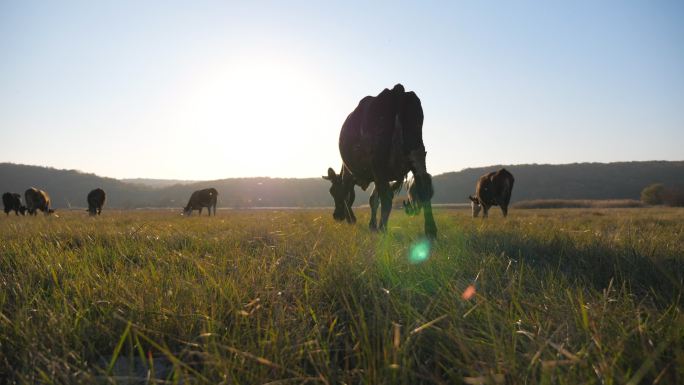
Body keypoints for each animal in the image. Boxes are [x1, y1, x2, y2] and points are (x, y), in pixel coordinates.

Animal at [322, 83, 438, 237]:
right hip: (416, 151)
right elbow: (373, 199)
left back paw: (383, 229)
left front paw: (353, 220)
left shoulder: (349, 172)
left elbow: (349, 194)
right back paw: (430, 231)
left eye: (332, 191)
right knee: (423, 186)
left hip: (379, 158)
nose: (336, 216)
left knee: (387, 197)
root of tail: (397, 89)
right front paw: (372, 225)